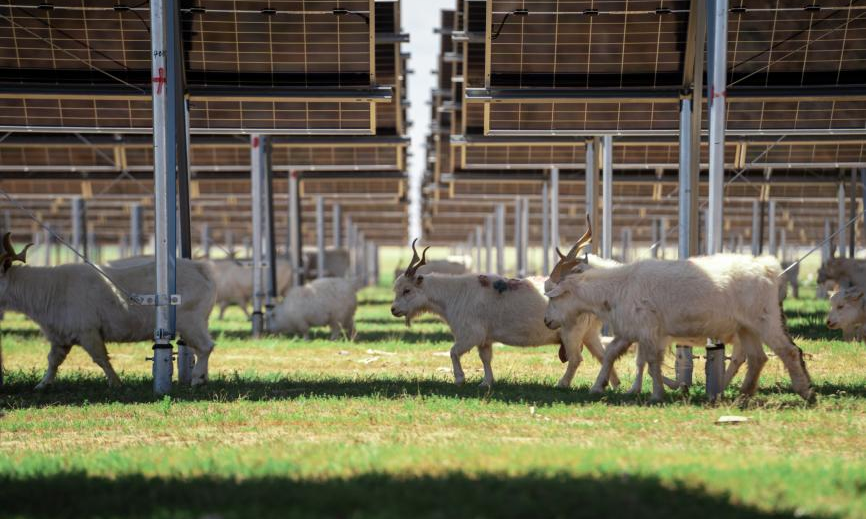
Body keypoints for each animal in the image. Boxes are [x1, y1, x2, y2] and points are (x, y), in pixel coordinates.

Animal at [0, 234, 216, 388]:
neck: (49, 289)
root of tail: (199, 268)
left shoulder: (88, 331)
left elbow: (101, 358)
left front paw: (116, 383)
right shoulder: (60, 337)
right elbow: (53, 361)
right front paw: (42, 384)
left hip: (191, 322)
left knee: (206, 346)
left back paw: (197, 378)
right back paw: (202, 377)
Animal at [544, 254, 812, 404]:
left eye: (554, 297)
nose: (547, 321)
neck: (619, 286)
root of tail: (769, 268)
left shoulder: (649, 329)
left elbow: (651, 362)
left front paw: (657, 394)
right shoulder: (632, 330)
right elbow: (613, 354)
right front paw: (599, 386)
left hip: (763, 319)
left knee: (788, 351)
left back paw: (805, 392)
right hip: (746, 327)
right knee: (757, 358)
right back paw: (742, 395)